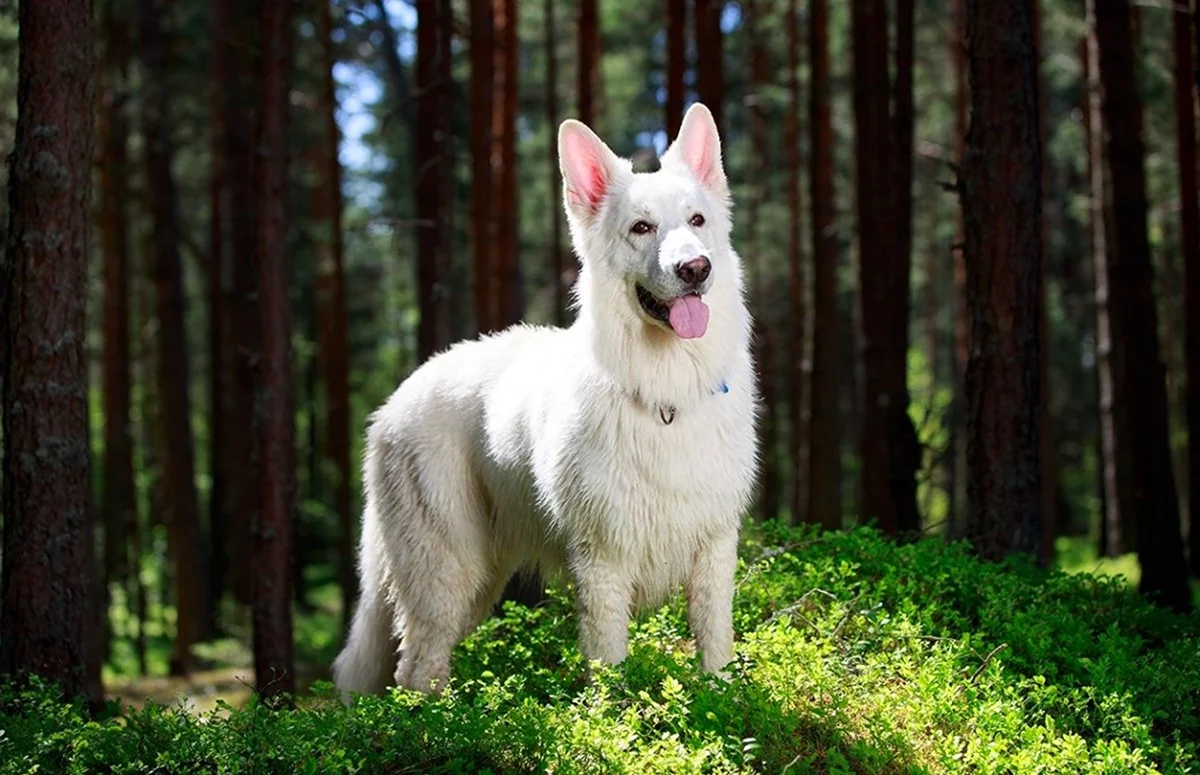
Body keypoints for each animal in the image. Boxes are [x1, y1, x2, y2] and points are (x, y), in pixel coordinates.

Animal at [333, 103, 753, 700]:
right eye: (641, 228)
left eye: (697, 221)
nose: (695, 269)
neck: (665, 393)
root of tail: (397, 397)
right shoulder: (601, 563)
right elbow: (610, 668)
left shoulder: (714, 551)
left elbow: (716, 651)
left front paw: (725, 705)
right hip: (445, 573)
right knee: (415, 669)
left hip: (479, 580)